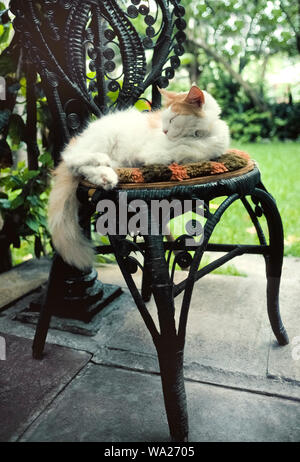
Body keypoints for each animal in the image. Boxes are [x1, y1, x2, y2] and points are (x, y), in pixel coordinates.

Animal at [47, 85, 230, 270]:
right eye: (165, 120)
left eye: (173, 119)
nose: (164, 131)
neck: (202, 136)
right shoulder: (155, 153)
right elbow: (183, 151)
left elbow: (193, 152)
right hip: (103, 139)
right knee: (72, 158)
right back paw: (101, 160)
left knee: (81, 169)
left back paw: (106, 176)